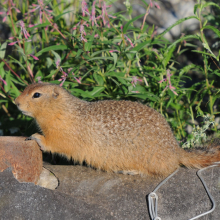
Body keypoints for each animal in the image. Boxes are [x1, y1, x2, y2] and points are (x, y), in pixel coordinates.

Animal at [15, 82, 220, 177]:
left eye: (36, 95)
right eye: (26, 87)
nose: (15, 102)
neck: (63, 110)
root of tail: (176, 150)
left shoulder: (64, 134)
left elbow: (57, 143)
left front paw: (36, 137)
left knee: (167, 170)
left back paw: (131, 171)